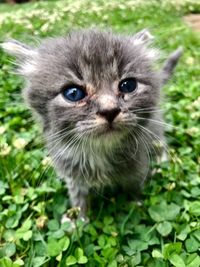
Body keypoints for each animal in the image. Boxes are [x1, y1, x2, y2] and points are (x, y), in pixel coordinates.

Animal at [1, 28, 182, 220]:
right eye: (73, 93)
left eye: (128, 85)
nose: (109, 111)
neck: (100, 152)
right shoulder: (72, 175)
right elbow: (78, 198)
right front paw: (78, 219)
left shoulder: (138, 165)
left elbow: (134, 187)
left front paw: (136, 205)